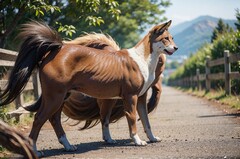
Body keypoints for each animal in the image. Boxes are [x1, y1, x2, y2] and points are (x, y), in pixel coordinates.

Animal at [0, 20, 176, 157]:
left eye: (171, 38)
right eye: (165, 38)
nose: (176, 48)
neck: (140, 59)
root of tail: (56, 49)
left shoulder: (140, 97)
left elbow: (146, 120)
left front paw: (152, 138)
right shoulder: (130, 96)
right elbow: (132, 118)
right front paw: (138, 141)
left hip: (62, 96)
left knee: (54, 119)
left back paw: (68, 146)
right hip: (54, 96)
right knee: (38, 119)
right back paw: (35, 151)